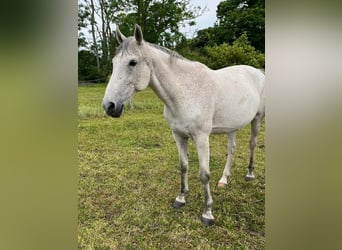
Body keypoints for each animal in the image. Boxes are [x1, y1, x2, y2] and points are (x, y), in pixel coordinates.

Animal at [103, 24, 266, 226]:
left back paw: (250, 174)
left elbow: (204, 174)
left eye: (132, 62)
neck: (184, 91)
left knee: (252, 144)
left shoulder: (201, 138)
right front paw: (180, 198)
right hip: (232, 126)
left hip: (257, 119)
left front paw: (207, 213)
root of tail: (258, 72)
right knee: (232, 149)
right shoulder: (179, 136)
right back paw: (224, 179)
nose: (109, 106)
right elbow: (183, 166)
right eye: (114, 62)